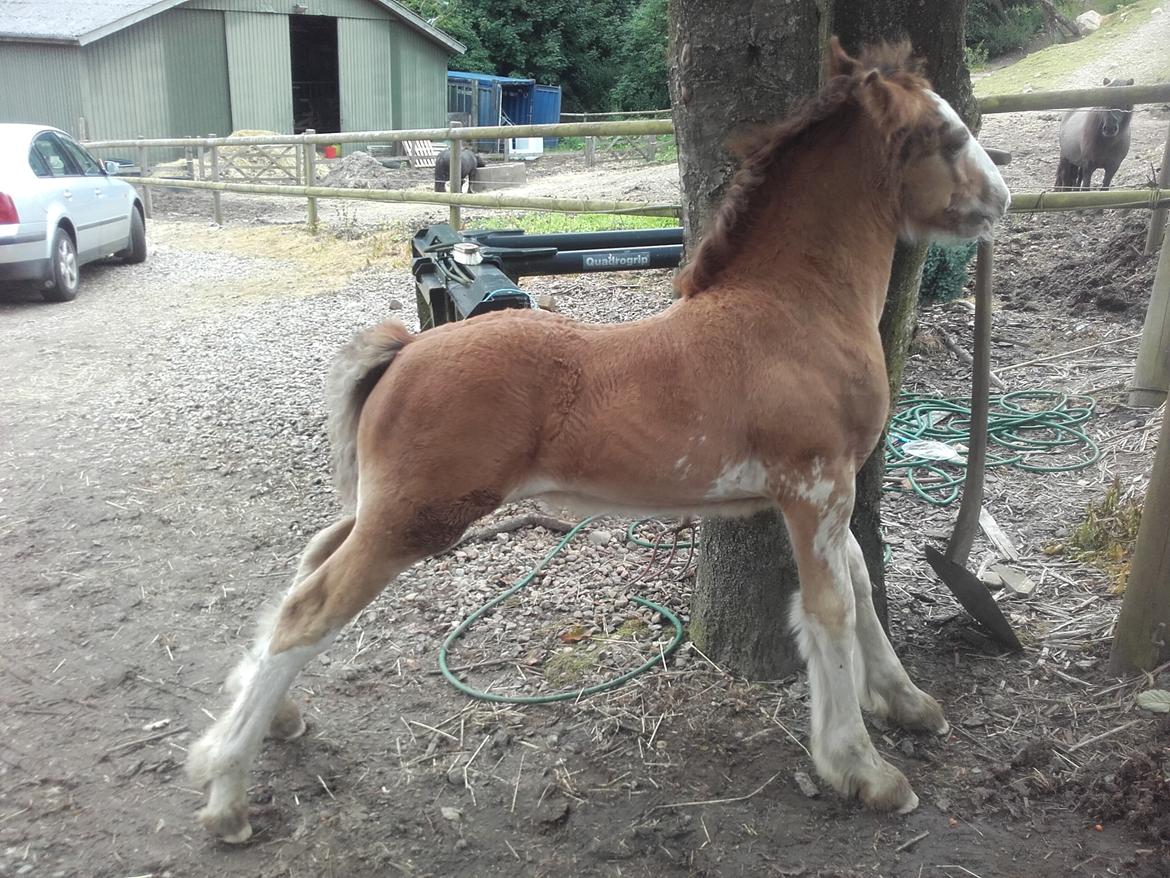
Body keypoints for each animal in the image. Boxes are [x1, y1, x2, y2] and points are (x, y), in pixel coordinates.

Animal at [187, 37, 1010, 842]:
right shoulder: (814, 485)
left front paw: (905, 702)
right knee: (310, 607)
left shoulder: (824, 491)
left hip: (391, 507)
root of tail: (405, 350)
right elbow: (830, 609)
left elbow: (860, 580)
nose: (999, 199)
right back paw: (226, 788)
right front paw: (862, 770)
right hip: (417, 518)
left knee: (309, 561)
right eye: (945, 135)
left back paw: (272, 720)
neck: (793, 310)